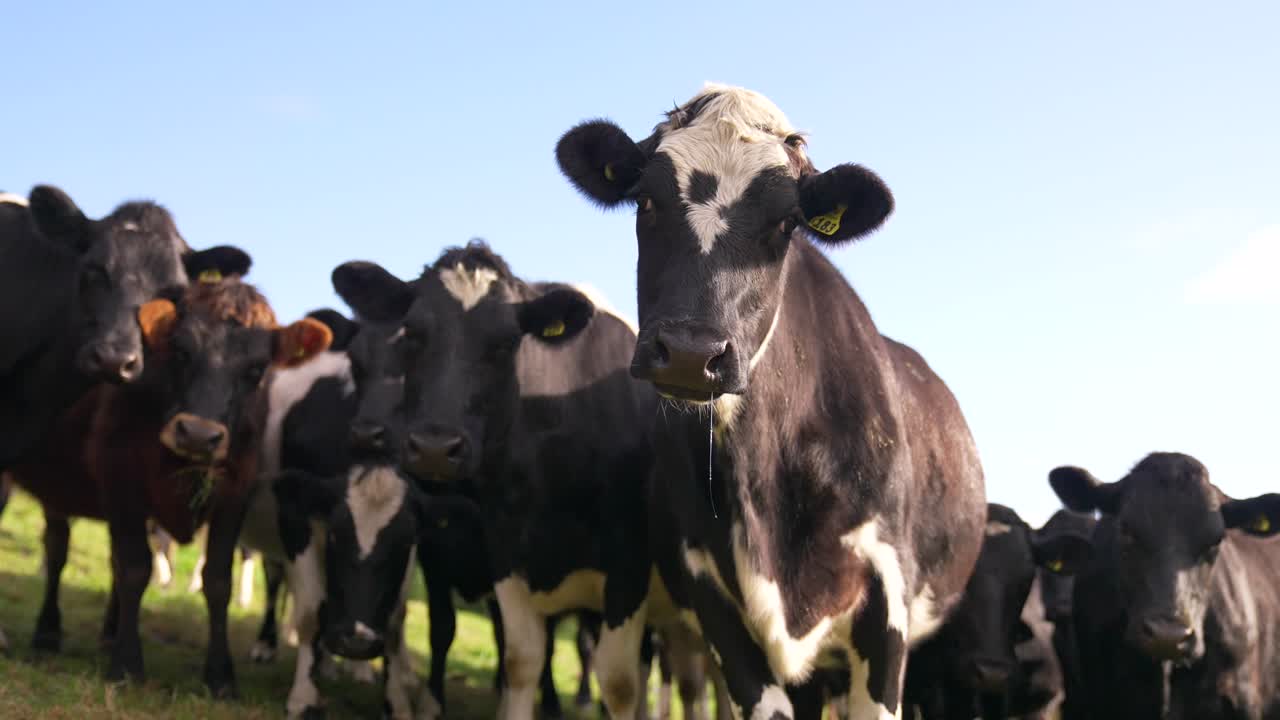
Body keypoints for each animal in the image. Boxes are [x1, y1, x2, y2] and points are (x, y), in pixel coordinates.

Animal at [8, 277, 331, 695]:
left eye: (257, 369)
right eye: (181, 351)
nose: (198, 434)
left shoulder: (235, 493)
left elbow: (217, 580)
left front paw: (220, 674)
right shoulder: (120, 478)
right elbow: (134, 568)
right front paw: (127, 663)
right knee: (58, 548)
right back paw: (48, 631)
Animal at [328, 242, 677, 720]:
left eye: (507, 343)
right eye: (412, 333)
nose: (435, 447)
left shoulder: (628, 569)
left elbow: (620, 684)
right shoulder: (506, 556)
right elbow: (521, 660)